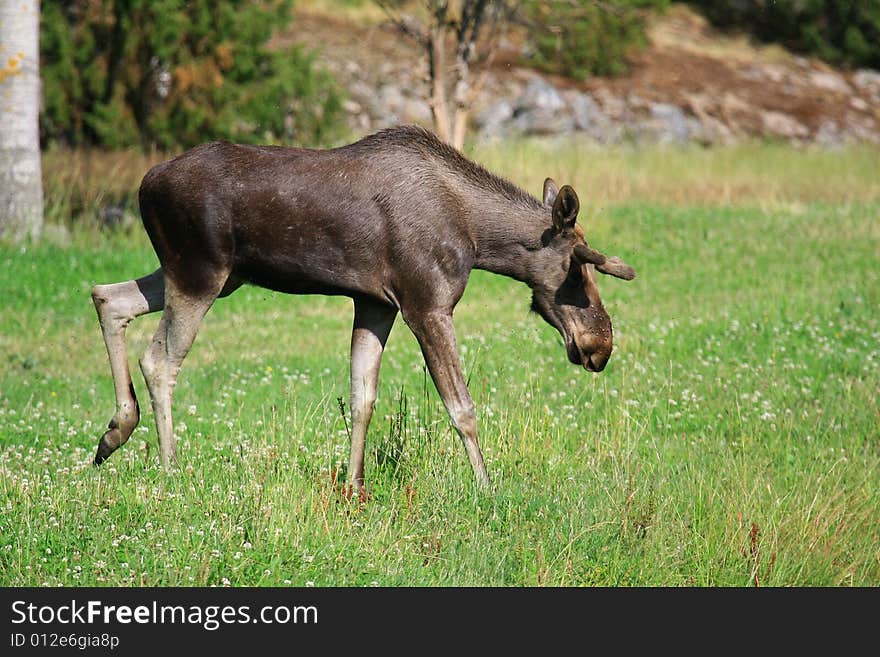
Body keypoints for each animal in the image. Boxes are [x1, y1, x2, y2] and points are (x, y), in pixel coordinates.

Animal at [91, 125, 632, 490]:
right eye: (578, 269)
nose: (601, 343)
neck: (479, 241)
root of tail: (144, 185)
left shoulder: (375, 304)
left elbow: (362, 397)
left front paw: (354, 486)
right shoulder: (426, 304)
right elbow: (462, 407)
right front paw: (486, 488)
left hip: (207, 274)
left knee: (107, 296)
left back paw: (113, 434)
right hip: (202, 272)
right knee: (159, 360)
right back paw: (170, 470)